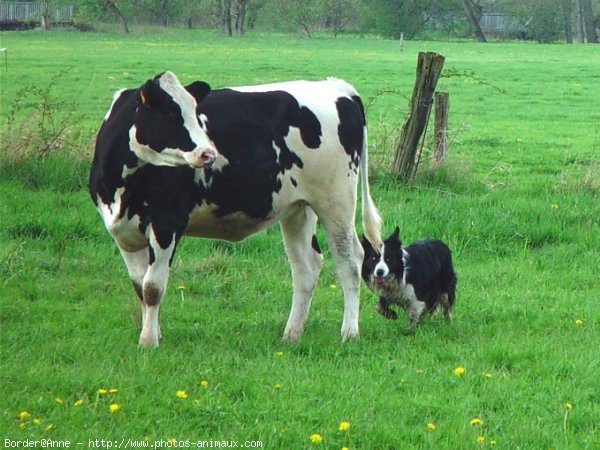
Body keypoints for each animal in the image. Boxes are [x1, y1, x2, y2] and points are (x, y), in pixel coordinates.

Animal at [89, 71, 382, 348]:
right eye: (171, 113)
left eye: (194, 111)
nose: (209, 153)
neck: (123, 187)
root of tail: (335, 86)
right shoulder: (122, 233)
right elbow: (139, 286)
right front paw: (154, 334)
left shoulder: (167, 222)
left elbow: (152, 287)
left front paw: (148, 342)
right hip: (298, 208)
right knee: (306, 268)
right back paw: (291, 334)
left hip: (336, 201)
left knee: (350, 263)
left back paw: (349, 332)